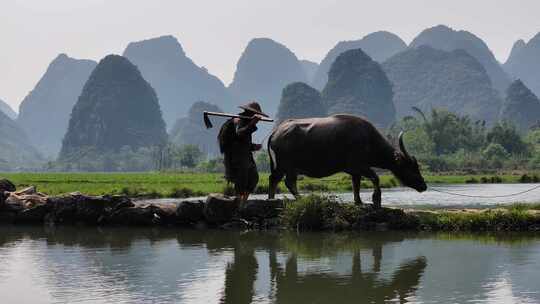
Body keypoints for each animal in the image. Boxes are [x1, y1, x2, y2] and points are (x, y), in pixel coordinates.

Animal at [268, 113, 428, 208]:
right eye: (410, 167)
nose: (424, 185)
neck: (368, 140)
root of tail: (276, 132)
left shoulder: (354, 171)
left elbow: (356, 186)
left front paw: (359, 202)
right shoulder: (360, 166)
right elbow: (376, 178)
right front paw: (376, 200)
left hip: (285, 167)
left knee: (278, 179)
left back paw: (273, 199)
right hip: (287, 165)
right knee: (285, 181)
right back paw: (297, 198)